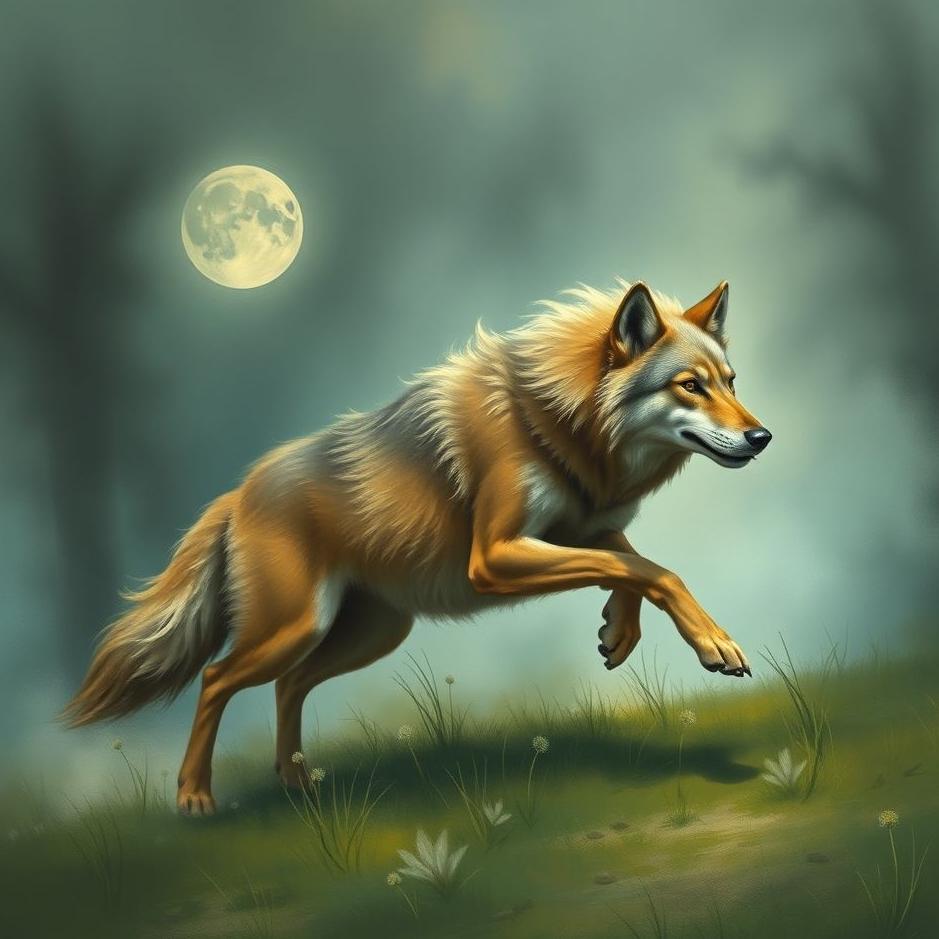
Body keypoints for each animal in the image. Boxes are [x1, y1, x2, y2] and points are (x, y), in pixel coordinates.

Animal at [64, 280, 771, 814]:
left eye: (732, 381)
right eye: (691, 385)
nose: (762, 437)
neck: (552, 418)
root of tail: (236, 495)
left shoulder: (572, 528)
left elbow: (627, 557)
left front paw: (618, 634)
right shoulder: (495, 555)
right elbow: (650, 567)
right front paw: (715, 645)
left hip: (369, 634)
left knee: (288, 686)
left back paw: (298, 784)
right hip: (296, 628)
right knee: (215, 678)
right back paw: (194, 798)